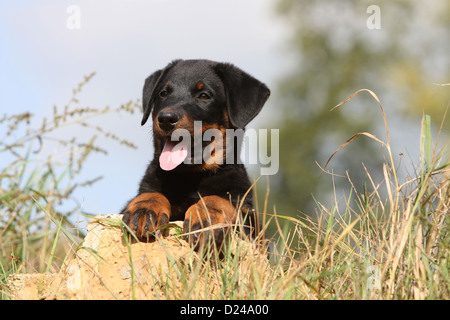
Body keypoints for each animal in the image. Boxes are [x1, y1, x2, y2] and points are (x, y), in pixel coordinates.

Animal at [120, 58, 270, 249]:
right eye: (163, 93)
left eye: (204, 95)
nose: (166, 118)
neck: (190, 176)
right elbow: (152, 193)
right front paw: (145, 208)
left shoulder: (250, 219)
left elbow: (218, 199)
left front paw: (206, 218)